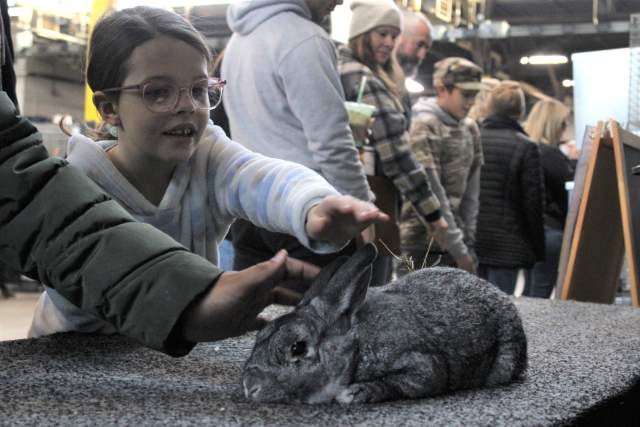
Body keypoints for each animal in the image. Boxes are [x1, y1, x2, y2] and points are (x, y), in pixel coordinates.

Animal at [242, 243, 527, 404]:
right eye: (261, 335)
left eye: (298, 348)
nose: (249, 387)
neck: (356, 346)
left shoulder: (421, 365)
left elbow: (407, 381)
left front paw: (355, 394)